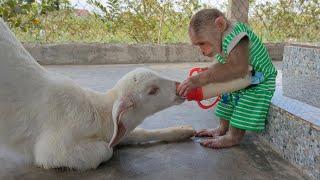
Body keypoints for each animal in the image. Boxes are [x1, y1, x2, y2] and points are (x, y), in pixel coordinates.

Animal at [0, 18, 195, 170]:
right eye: (152, 91)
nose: (180, 87)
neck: (98, 112)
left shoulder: (118, 129)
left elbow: (141, 133)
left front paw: (183, 131)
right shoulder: (52, 150)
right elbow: (106, 149)